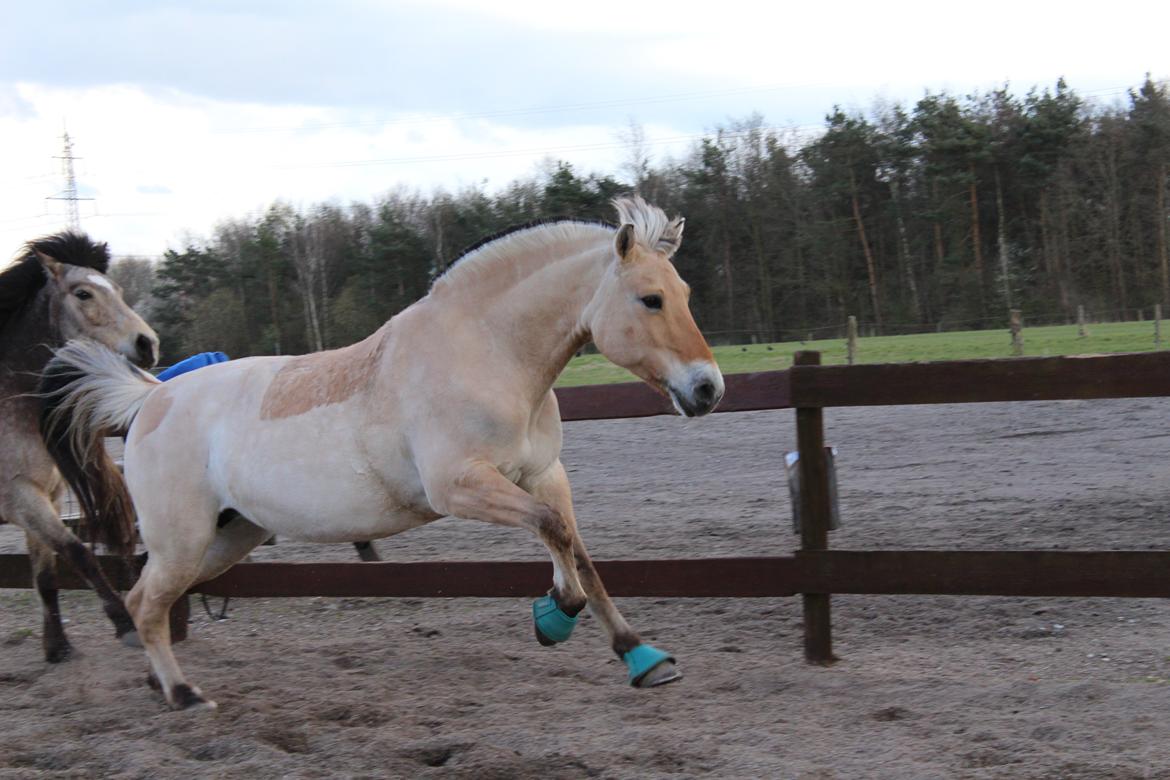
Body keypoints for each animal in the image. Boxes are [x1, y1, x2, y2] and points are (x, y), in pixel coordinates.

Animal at [0, 231, 158, 661]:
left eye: (118, 291)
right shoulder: (20, 499)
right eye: (83, 293)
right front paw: (125, 624)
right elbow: (79, 553)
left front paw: (57, 647)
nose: (148, 344)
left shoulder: (49, 496)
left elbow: (46, 574)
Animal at [40, 196, 725, 710]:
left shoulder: (544, 474)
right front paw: (555, 613)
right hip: (182, 541)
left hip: (226, 538)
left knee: (145, 602)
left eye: (685, 293)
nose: (708, 389)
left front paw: (641, 656)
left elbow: (577, 549)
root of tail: (151, 397)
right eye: (650, 299)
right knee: (147, 604)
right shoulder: (460, 486)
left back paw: (161, 687)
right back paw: (184, 695)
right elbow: (555, 537)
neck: (487, 354)